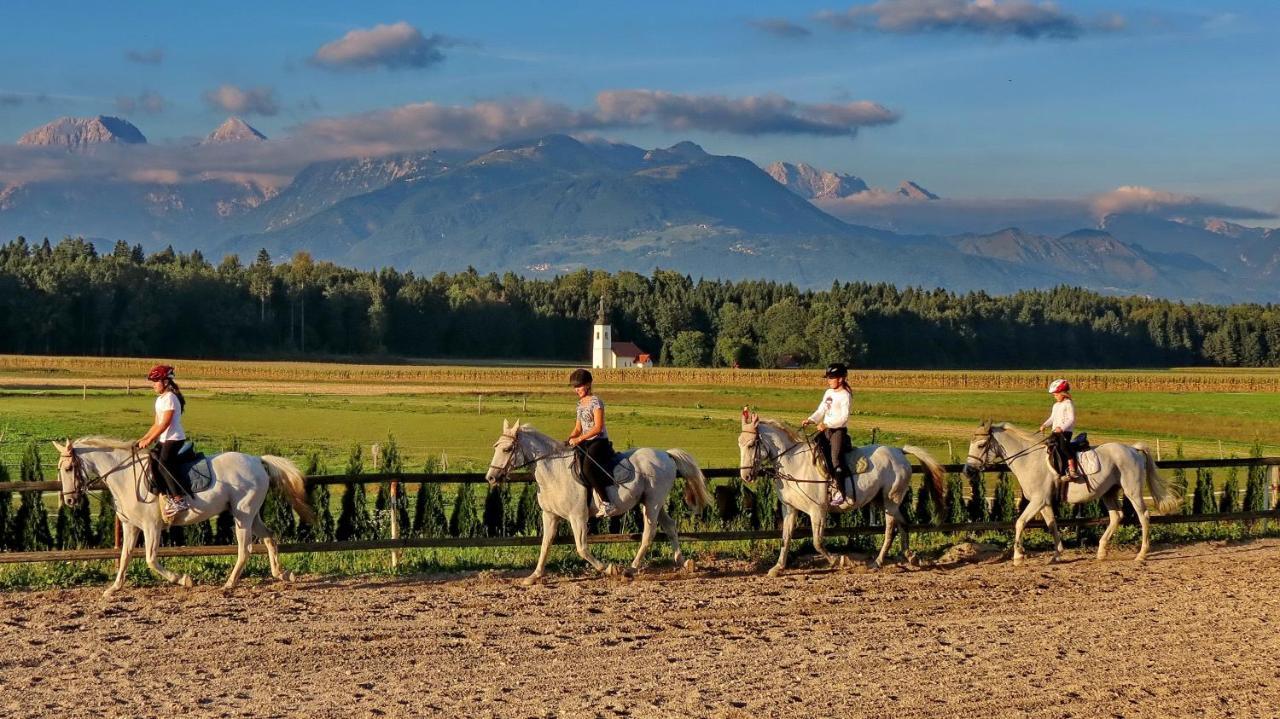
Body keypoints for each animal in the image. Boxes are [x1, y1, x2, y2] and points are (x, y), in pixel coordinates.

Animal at [54, 437, 314, 593]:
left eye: (69, 468)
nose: (69, 500)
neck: (126, 475)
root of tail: (257, 461)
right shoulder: (131, 526)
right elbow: (125, 555)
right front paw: (114, 588)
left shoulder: (152, 526)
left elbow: (150, 559)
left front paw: (183, 579)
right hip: (250, 515)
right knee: (270, 537)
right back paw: (281, 573)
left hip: (243, 515)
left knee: (245, 548)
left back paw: (229, 583)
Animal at [483, 419, 716, 583]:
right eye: (494, 447)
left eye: (506, 449)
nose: (491, 478)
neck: (554, 471)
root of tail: (666, 455)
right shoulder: (550, 515)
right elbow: (545, 544)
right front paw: (534, 576)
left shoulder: (577, 516)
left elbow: (581, 548)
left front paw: (609, 569)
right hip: (652, 502)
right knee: (669, 526)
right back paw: (683, 562)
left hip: (653, 502)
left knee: (649, 533)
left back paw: (630, 569)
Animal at [737, 411, 947, 573]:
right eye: (739, 443)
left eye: (751, 444)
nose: (746, 475)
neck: (794, 464)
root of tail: (899, 451)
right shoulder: (789, 509)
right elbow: (786, 537)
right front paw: (778, 567)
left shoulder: (817, 511)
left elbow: (817, 542)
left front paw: (841, 561)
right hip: (881, 501)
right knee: (904, 524)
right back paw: (911, 557)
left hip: (891, 501)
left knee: (890, 530)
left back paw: (877, 562)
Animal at [962, 419, 1177, 565]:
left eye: (981, 445)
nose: (967, 470)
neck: (1029, 459)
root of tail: (1133, 450)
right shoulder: (1044, 503)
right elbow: (1052, 525)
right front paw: (1057, 554)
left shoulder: (1038, 500)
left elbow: (1020, 523)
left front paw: (1018, 556)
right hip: (1108, 492)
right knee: (1116, 516)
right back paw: (1101, 552)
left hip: (1132, 491)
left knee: (1143, 516)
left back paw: (1141, 554)